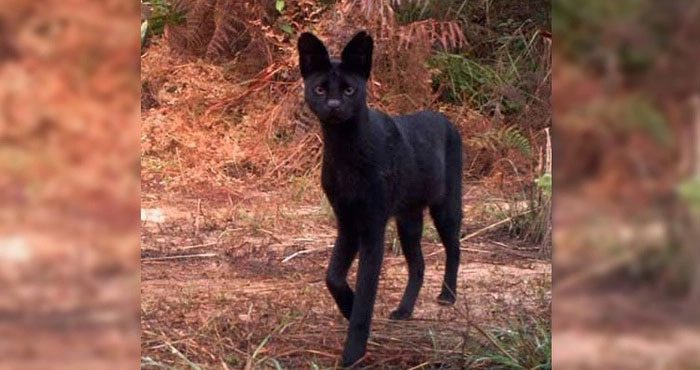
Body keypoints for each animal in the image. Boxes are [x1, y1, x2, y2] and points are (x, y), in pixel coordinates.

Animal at [296, 30, 464, 366]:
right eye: (320, 88)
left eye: (349, 89)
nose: (334, 105)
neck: (345, 152)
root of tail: (445, 120)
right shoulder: (347, 221)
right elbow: (333, 276)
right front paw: (347, 306)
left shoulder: (372, 227)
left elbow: (366, 293)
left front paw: (353, 353)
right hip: (408, 219)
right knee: (418, 264)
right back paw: (404, 310)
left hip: (446, 207)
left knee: (454, 248)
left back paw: (447, 295)